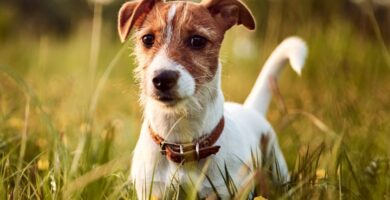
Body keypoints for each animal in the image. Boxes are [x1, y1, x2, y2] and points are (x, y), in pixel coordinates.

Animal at [116, 0, 308, 198]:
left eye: (197, 40)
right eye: (147, 39)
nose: (162, 79)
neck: (182, 144)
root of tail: (250, 108)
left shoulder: (225, 191)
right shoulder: (152, 191)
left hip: (278, 169)